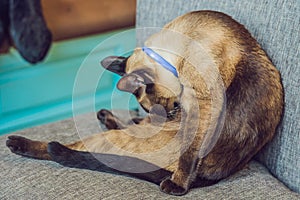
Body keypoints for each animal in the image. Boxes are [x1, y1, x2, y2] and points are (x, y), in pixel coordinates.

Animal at [6, 10, 284, 195]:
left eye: (173, 108)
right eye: (166, 109)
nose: (167, 119)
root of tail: (211, 175)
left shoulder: (201, 102)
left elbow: (189, 155)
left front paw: (177, 186)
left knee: (61, 149)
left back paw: (17, 143)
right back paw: (105, 116)